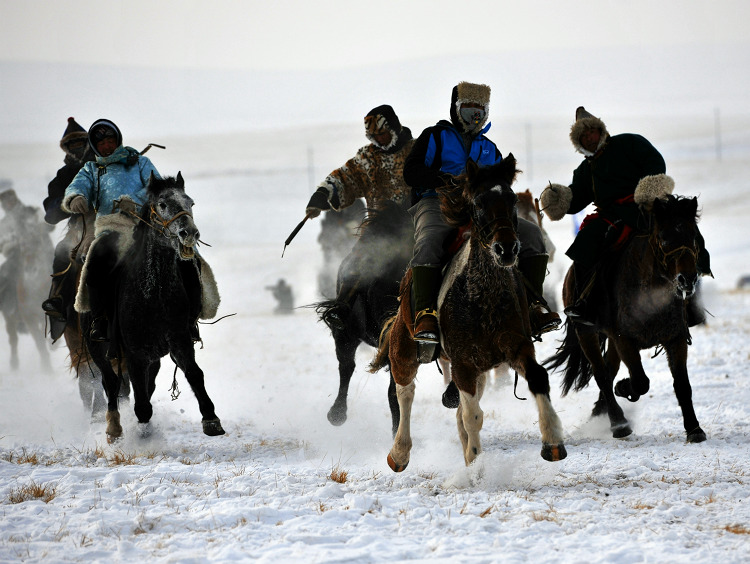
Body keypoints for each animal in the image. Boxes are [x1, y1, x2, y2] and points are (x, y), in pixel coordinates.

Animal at [84, 174, 226, 442]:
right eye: (162, 204)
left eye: (190, 202)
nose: (189, 233)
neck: (153, 295)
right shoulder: (134, 352)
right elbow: (139, 400)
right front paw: (142, 432)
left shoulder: (179, 340)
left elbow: (194, 374)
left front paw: (211, 419)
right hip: (98, 348)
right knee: (110, 382)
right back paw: (113, 427)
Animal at [370, 155, 568, 472]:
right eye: (478, 203)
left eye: (511, 199)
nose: (506, 248)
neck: (483, 296)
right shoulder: (463, 362)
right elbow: (472, 416)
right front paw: (475, 466)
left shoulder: (517, 345)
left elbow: (537, 377)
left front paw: (552, 441)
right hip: (404, 347)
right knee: (405, 392)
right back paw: (399, 452)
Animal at [548, 194, 712, 446]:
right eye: (663, 238)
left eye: (694, 236)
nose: (687, 280)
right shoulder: (624, 339)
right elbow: (641, 381)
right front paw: (625, 388)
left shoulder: (675, 338)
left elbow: (682, 385)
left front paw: (694, 428)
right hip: (586, 332)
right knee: (601, 374)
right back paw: (618, 423)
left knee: (609, 369)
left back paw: (600, 413)